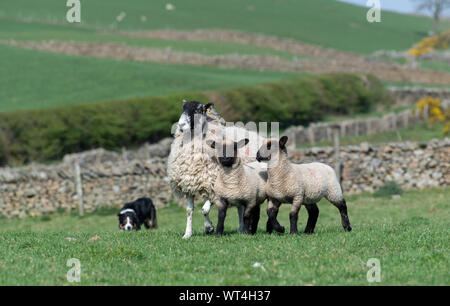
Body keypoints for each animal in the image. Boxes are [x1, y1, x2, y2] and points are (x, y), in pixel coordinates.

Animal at [169, 99, 268, 238]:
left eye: (199, 110)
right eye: (183, 108)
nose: (181, 125)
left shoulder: (214, 186)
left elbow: (204, 209)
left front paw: (209, 227)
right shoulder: (189, 185)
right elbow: (189, 210)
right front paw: (187, 234)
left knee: (241, 207)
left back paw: (241, 229)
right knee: (240, 207)